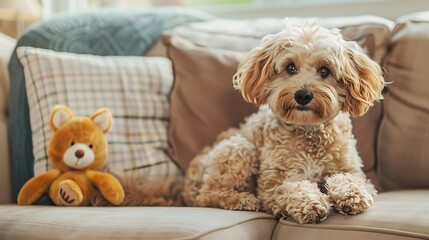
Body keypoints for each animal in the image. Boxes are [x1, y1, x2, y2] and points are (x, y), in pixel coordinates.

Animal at [182, 19, 382, 224]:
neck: (308, 130)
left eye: (324, 71)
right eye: (290, 67)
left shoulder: (354, 172)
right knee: (208, 194)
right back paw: (243, 200)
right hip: (240, 148)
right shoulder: (271, 188)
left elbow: (349, 179)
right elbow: (294, 186)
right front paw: (311, 203)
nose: (303, 95)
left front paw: (351, 195)